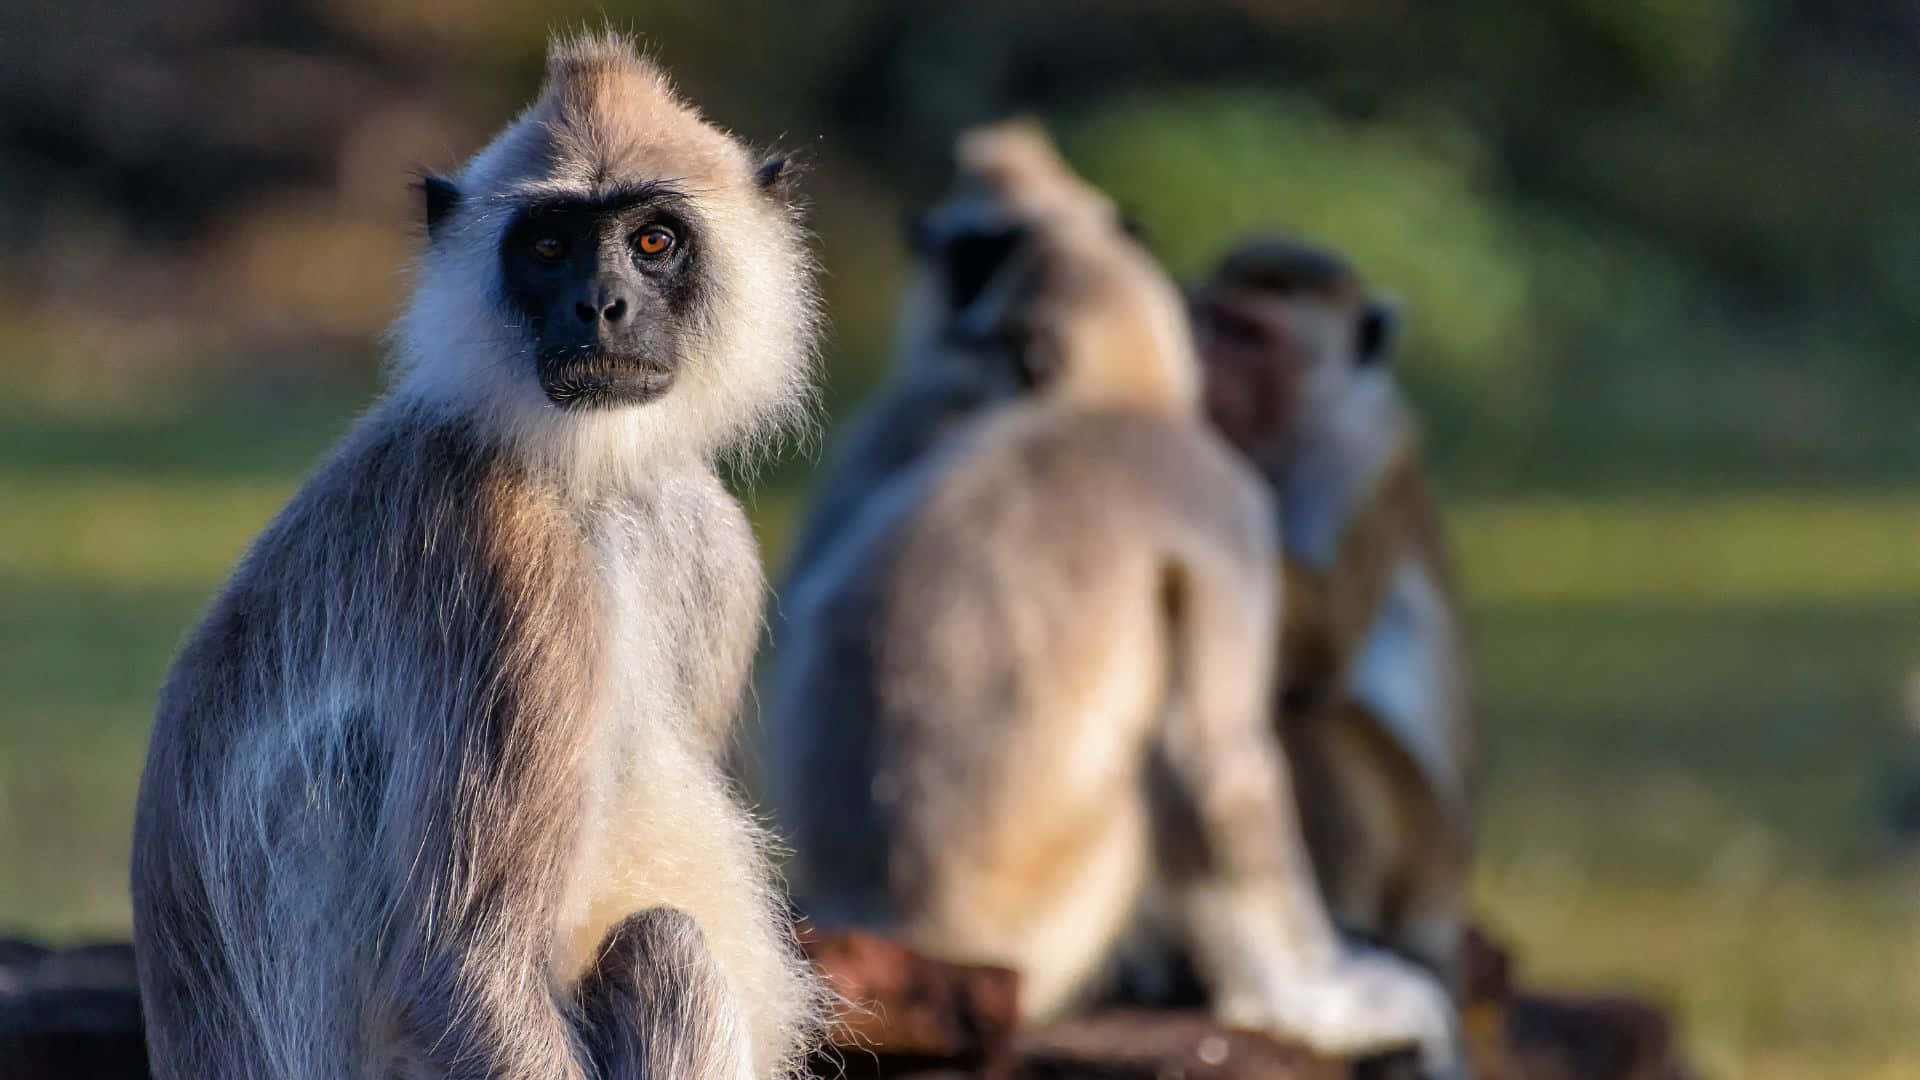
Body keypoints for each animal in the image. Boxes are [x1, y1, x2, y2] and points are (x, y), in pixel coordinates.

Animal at [130, 33, 821, 1080]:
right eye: (549, 247)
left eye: (654, 243)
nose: (602, 304)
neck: (590, 479)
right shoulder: (508, 556)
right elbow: (460, 977)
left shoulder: (713, 542)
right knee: (665, 945)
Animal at [1188, 235, 1478, 991]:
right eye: (1209, 320)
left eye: (1249, 334)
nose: (1202, 364)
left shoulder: (1361, 455)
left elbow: (1324, 635)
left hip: (1423, 851)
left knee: (1313, 717)